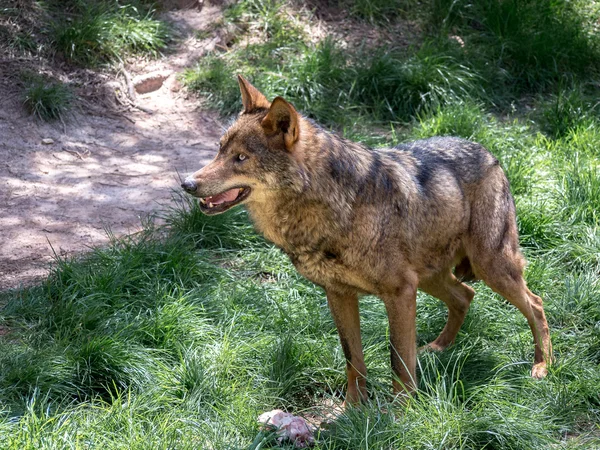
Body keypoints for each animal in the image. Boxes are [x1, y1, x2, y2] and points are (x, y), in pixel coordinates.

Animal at [182, 76, 552, 404]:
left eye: (241, 158)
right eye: (219, 150)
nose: (187, 183)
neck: (331, 209)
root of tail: (487, 151)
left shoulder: (399, 293)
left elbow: (397, 361)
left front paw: (402, 413)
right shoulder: (339, 294)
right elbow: (353, 359)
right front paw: (353, 409)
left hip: (491, 267)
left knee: (534, 303)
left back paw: (542, 366)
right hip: (431, 278)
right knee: (465, 295)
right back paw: (436, 350)